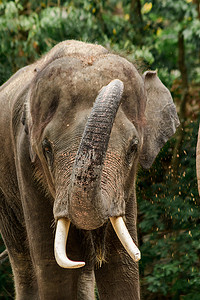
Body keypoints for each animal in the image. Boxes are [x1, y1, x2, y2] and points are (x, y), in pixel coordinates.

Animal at [0, 40, 179, 300]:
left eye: (133, 148)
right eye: (46, 148)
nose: (114, 85)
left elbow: (120, 266)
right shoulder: (24, 157)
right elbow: (54, 268)